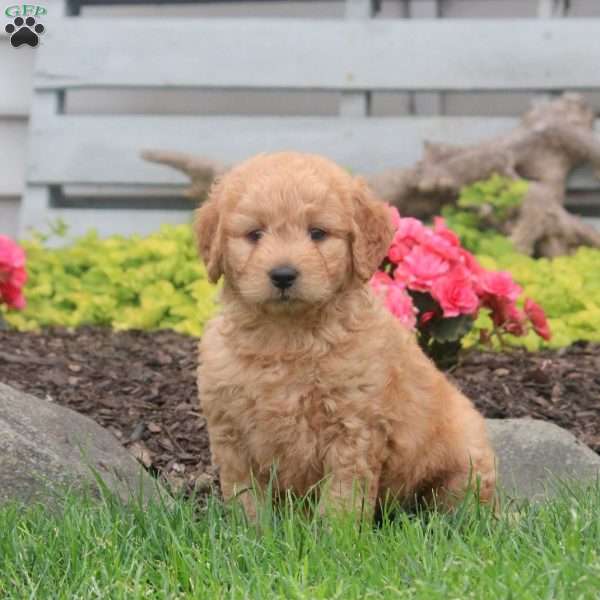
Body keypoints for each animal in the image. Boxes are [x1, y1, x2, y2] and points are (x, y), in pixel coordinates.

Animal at [195, 151, 494, 520]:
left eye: (317, 233)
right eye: (254, 234)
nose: (283, 275)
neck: (288, 334)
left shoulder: (354, 428)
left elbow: (341, 497)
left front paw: (335, 533)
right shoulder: (231, 431)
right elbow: (245, 495)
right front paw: (250, 529)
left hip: (465, 461)